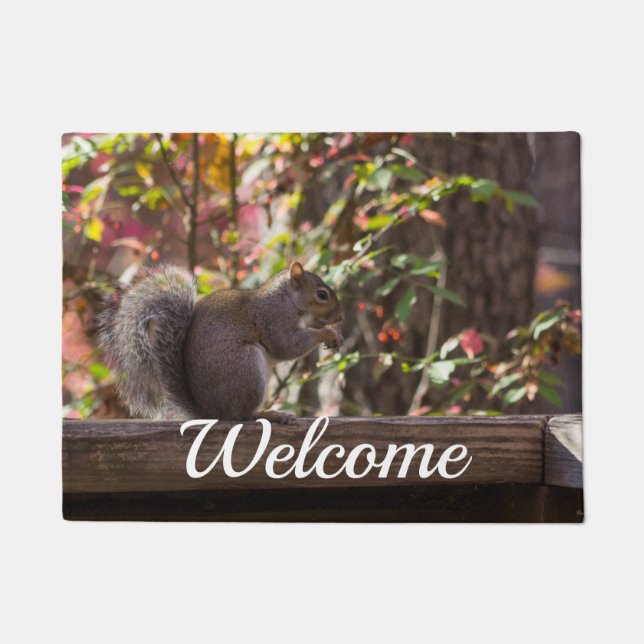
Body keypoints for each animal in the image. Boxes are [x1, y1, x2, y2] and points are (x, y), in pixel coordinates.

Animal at [97, 261, 343, 423]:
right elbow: (287, 345)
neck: (287, 299)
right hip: (246, 367)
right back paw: (268, 414)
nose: (340, 318)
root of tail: (212, 412)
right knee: (241, 416)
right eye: (322, 294)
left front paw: (335, 335)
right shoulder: (273, 319)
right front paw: (327, 334)